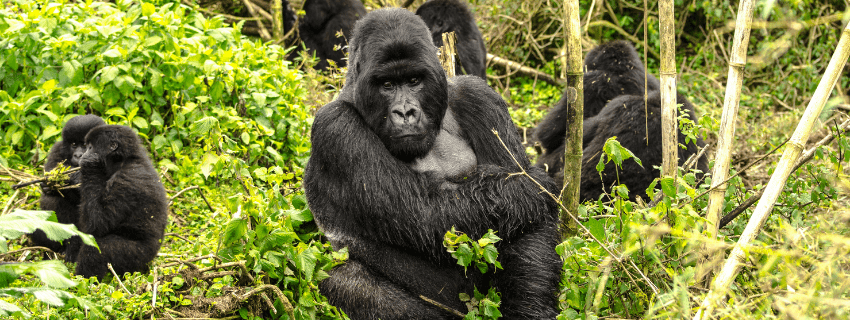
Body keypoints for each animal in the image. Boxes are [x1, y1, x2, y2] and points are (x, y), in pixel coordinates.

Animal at [63, 124, 168, 278]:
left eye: (89, 147)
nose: (81, 156)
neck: (123, 160)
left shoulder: (126, 181)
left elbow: (98, 223)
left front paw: (89, 165)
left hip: (139, 257)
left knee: (98, 247)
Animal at [304, 8, 564, 320]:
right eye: (387, 85)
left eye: (414, 80)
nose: (405, 112)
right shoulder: (335, 127)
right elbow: (424, 214)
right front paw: (526, 189)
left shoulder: (478, 95)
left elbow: (529, 227)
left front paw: (531, 307)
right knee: (343, 279)